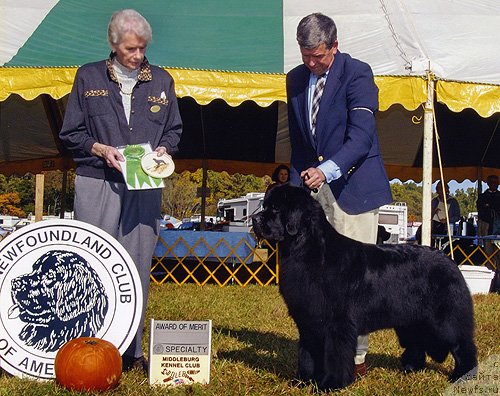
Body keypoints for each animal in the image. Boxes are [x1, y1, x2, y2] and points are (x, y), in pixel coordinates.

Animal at [252, 185, 478, 390]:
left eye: (276, 209)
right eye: (266, 206)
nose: (254, 219)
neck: (307, 249)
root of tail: (449, 261)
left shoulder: (338, 322)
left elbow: (335, 356)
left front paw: (331, 384)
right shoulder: (308, 319)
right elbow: (307, 354)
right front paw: (302, 381)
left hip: (445, 319)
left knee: (462, 345)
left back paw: (463, 375)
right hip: (410, 319)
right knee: (417, 341)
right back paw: (411, 368)